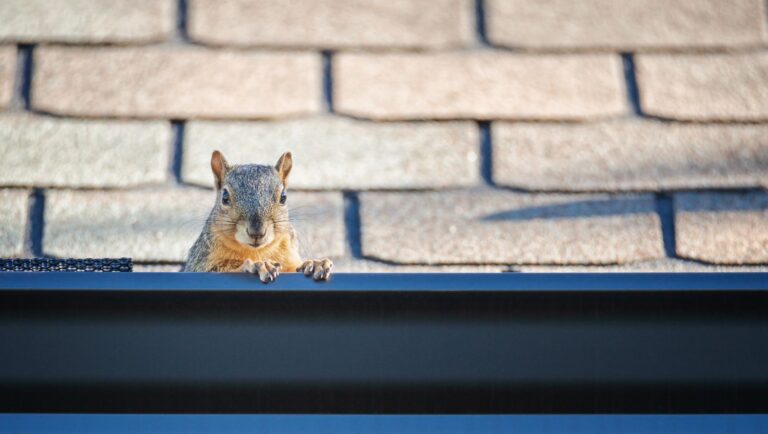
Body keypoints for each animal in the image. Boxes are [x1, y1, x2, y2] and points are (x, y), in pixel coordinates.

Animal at [185, 151, 332, 284]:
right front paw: (257, 265)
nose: (257, 232)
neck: (257, 251)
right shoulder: (200, 263)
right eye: (225, 197)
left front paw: (314, 264)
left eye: (283, 197)